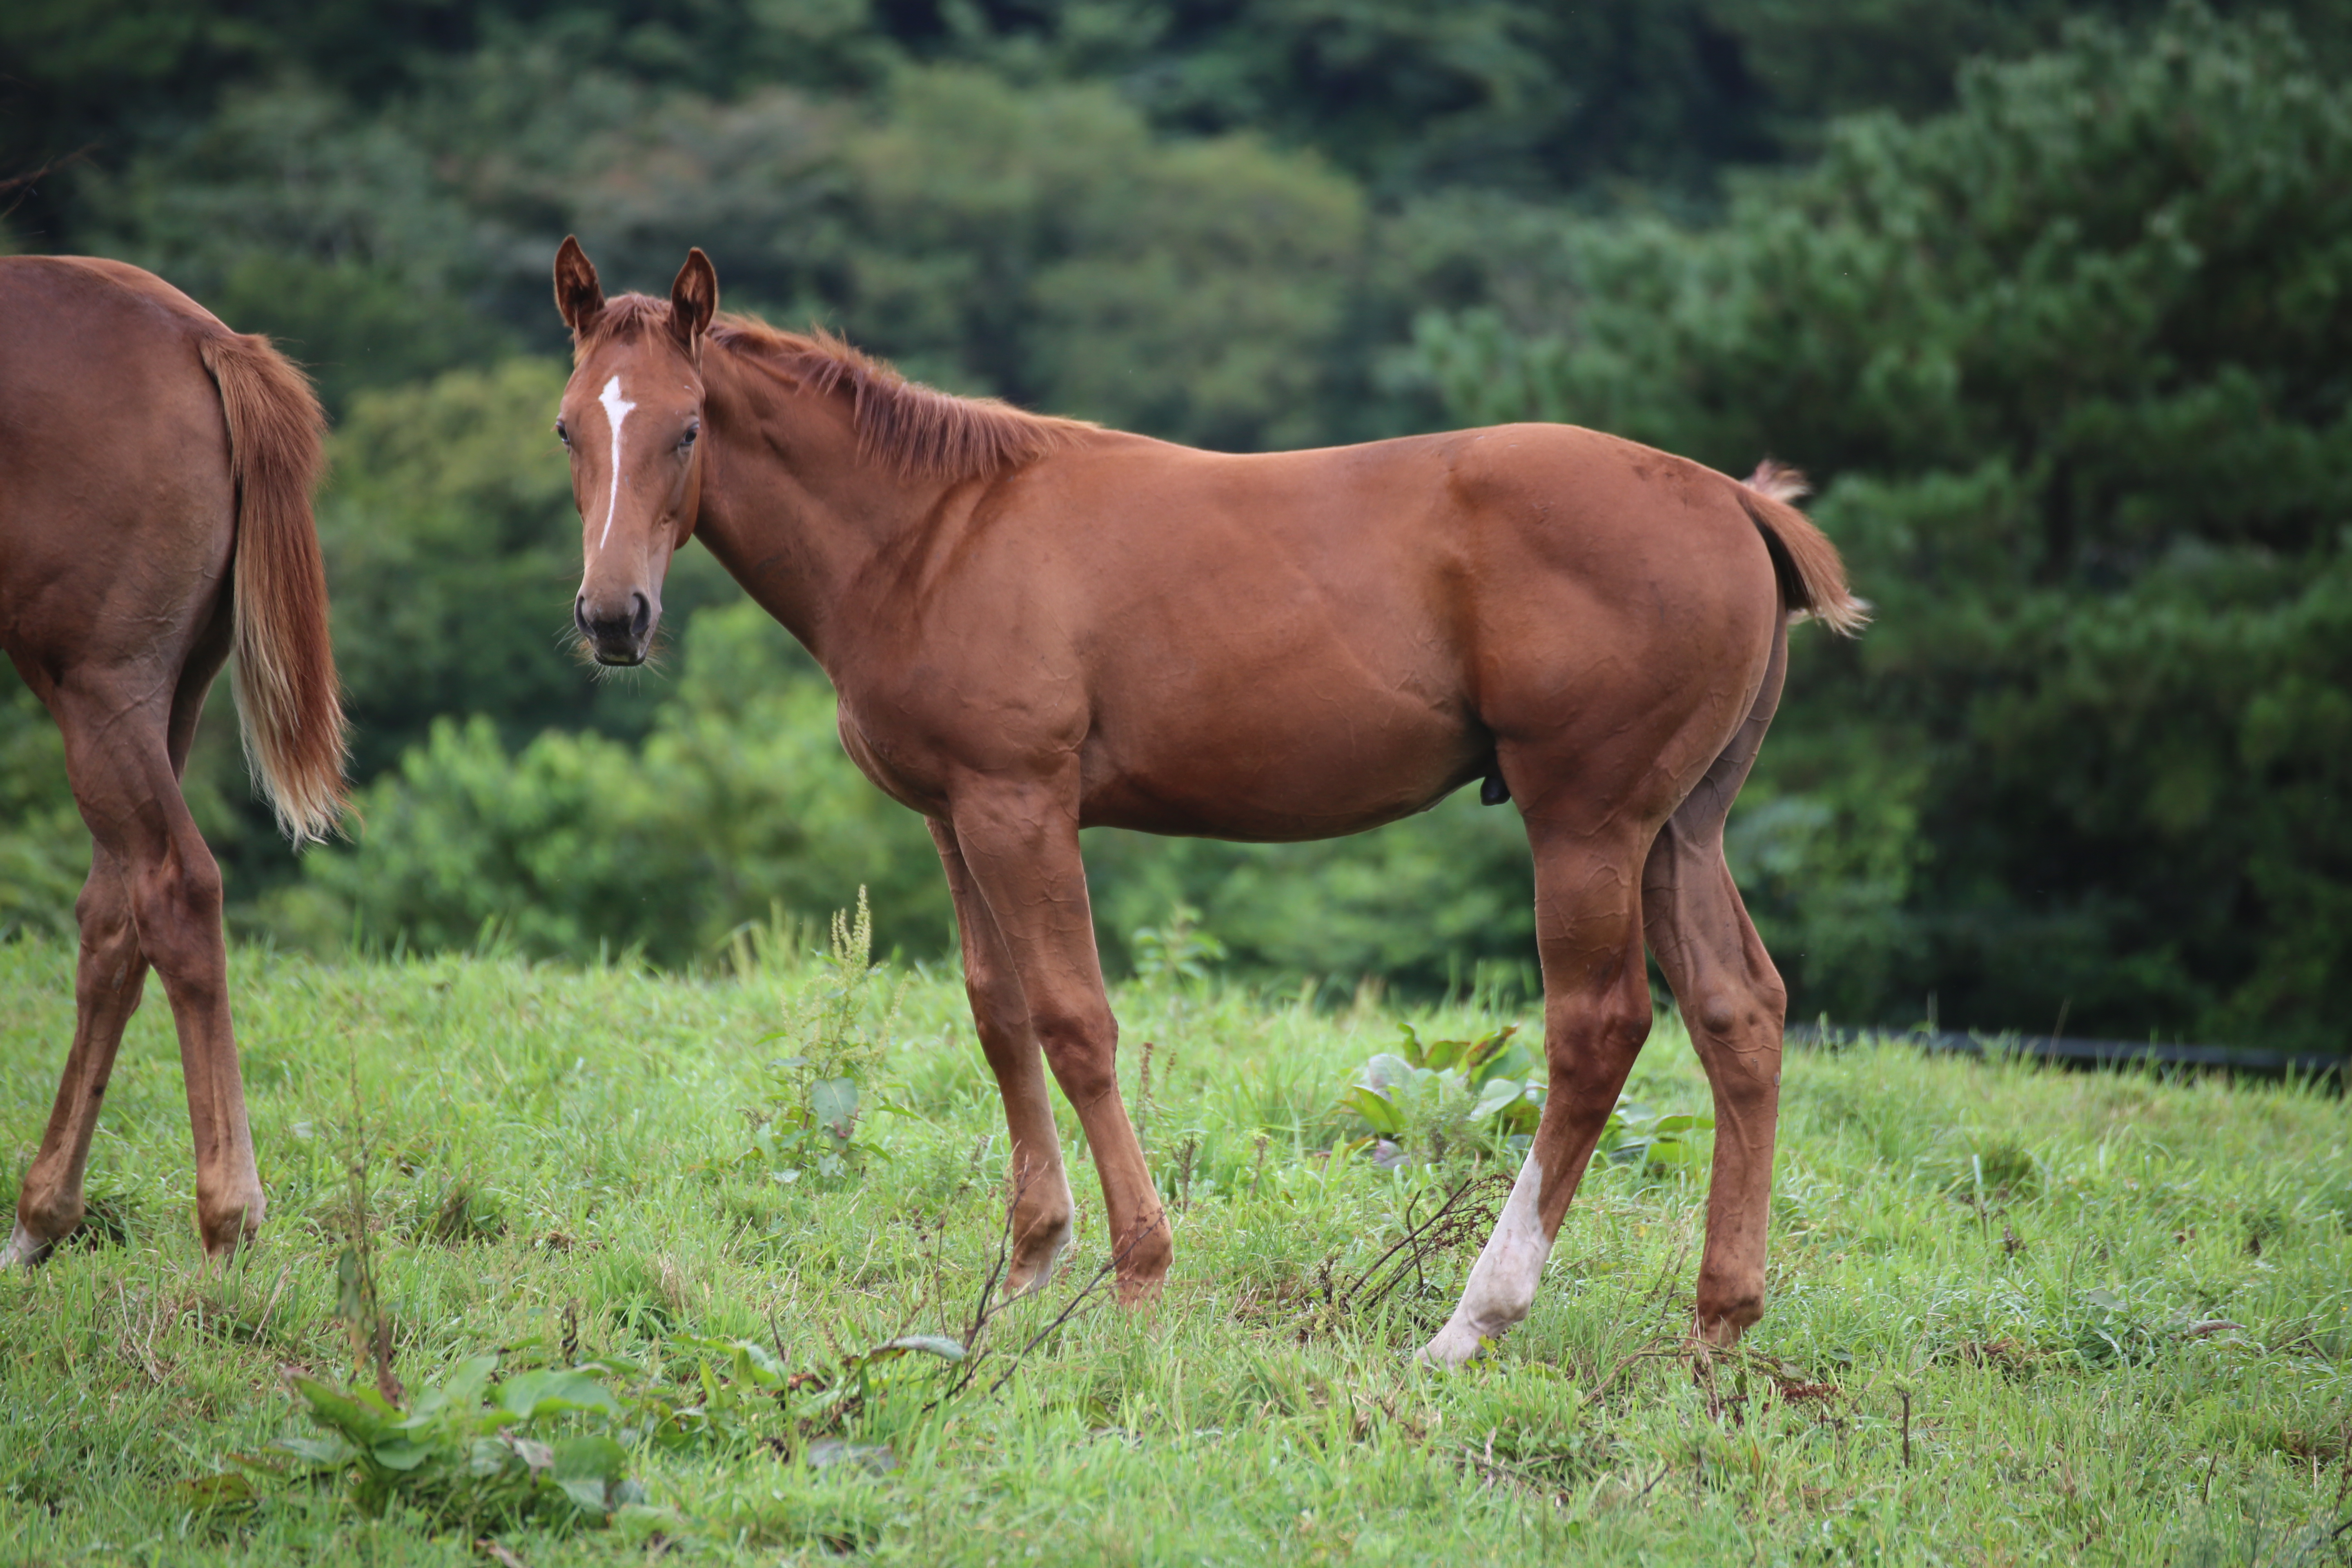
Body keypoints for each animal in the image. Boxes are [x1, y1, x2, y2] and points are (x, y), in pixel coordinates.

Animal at [0, 255, 345, 1260]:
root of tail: (207, 341)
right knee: (117, 915)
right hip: (169, 692)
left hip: (99, 687)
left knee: (173, 889)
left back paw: (228, 1216)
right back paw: (42, 1216)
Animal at [546, 236, 1853, 1363]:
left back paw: (1472, 1319)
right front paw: (1026, 1268)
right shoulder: (952, 815)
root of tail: (1734, 500)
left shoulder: (1020, 805)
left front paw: (1136, 1271)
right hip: (1678, 827)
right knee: (1740, 1011)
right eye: (567, 428)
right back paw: (1719, 1320)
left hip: (1586, 822)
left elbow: (1076, 1021)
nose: (614, 618)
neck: (937, 530)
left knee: (1598, 1027)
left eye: (688, 427)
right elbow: (997, 1013)